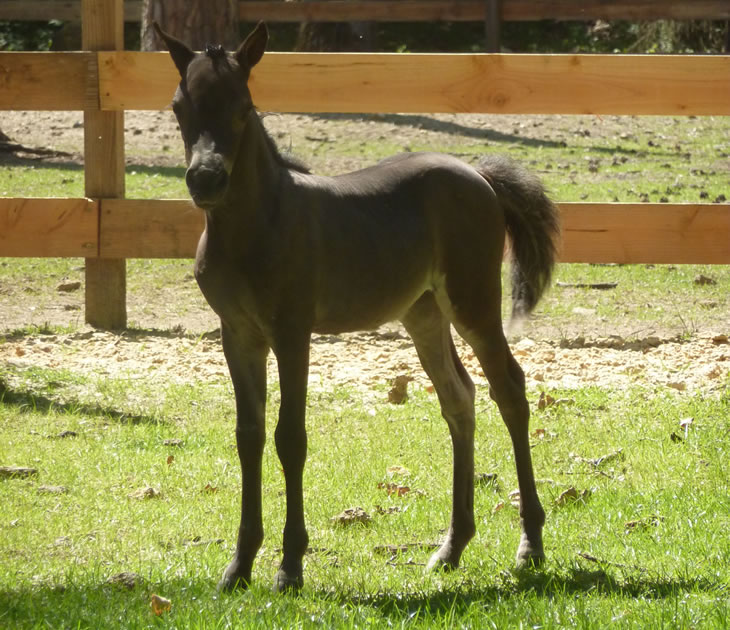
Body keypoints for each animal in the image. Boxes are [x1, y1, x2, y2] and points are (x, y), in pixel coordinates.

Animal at [156, 22, 560, 596]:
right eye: (178, 106)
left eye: (243, 105)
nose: (206, 180)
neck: (256, 224)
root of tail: (478, 174)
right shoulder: (237, 334)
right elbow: (248, 436)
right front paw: (239, 566)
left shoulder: (292, 332)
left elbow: (290, 438)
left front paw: (290, 567)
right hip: (424, 313)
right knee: (458, 398)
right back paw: (451, 547)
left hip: (473, 302)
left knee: (510, 390)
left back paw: (531, 545)